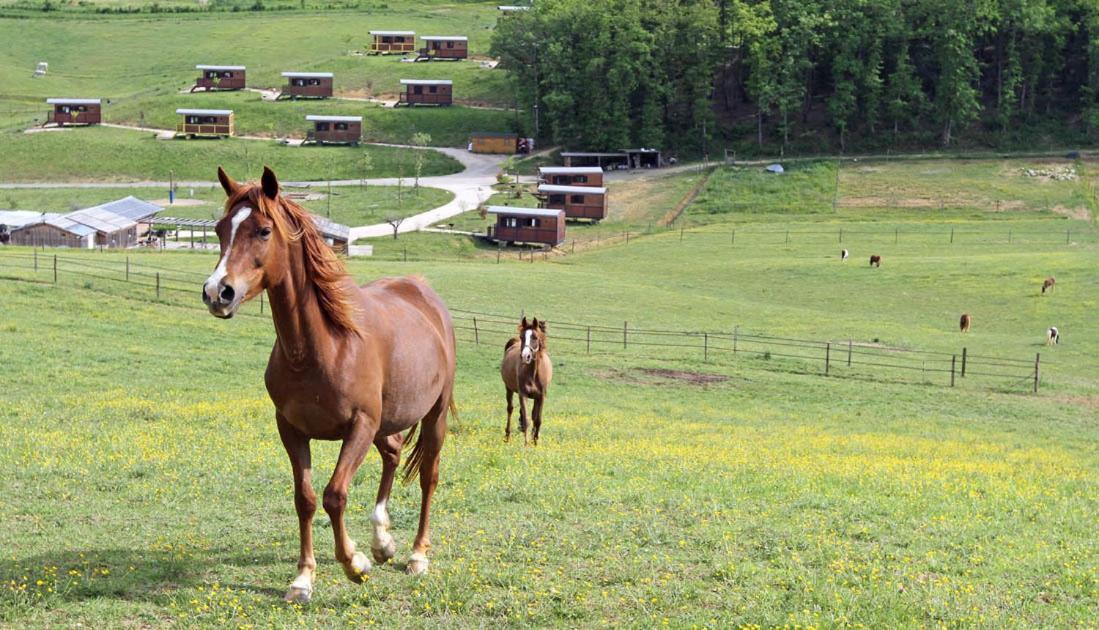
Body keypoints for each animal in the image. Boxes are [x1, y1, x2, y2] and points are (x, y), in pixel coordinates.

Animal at [202, 167, 454, 602]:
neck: (324, 347)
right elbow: (304, 499)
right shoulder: (290, 429)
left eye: (263, 230)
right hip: (387, 422)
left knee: (428, 477)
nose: (218, 292)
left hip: (432, 416)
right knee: (392, 453)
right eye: (220, 229)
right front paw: (303, 578)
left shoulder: (360, 425)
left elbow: (334, 495)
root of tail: (422, 290)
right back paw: (382, 541)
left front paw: (355, 564)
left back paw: (417, 555)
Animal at [505, 316, 558, 444]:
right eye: (522, 337)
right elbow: (526, 420)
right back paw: (507, 436)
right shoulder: (523, 394)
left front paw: (535, 442)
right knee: (510, 409)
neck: (533, 373)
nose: (525, 356)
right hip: (508, 388)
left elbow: (537, 420)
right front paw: (526, 444)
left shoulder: (541, 396)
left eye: (535, 337)